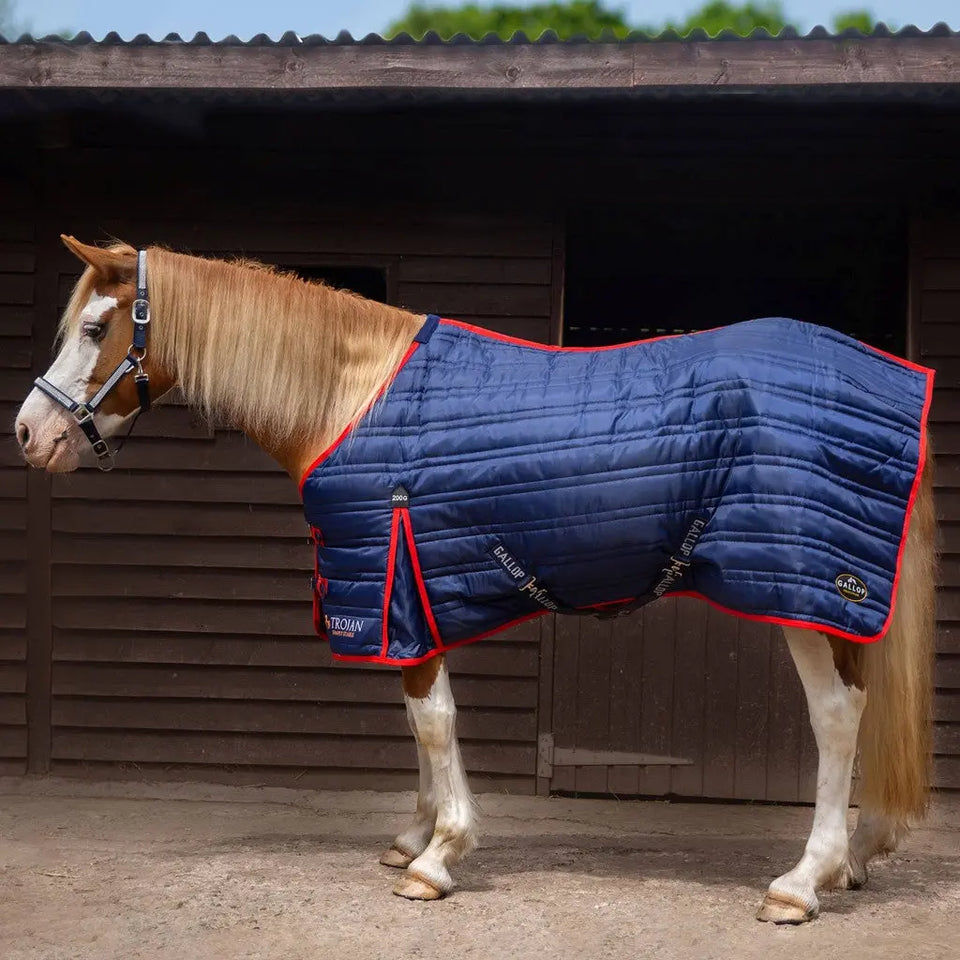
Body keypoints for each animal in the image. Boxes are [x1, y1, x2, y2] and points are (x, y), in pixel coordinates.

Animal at [14, 236, 935, 924]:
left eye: (95, 327)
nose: (28, 434)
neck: (350, 396)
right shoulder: (411, 595)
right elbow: (420, 719)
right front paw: (415, 834)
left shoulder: (393, 576)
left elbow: (432, 720)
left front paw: (438, 856)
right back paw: (856, 860)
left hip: (800, 594)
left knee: (838, 717)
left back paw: (803, 882)